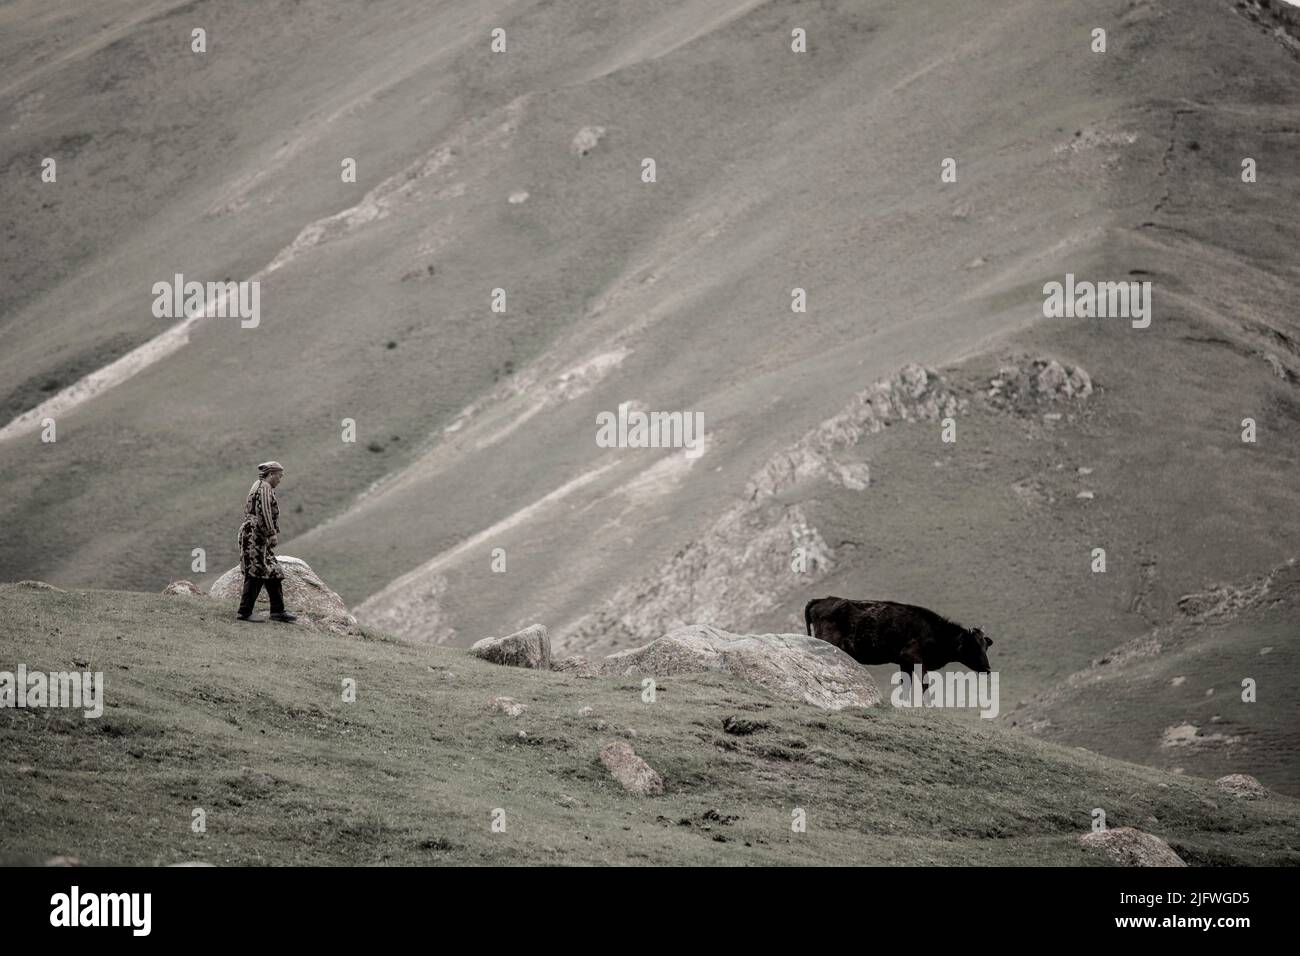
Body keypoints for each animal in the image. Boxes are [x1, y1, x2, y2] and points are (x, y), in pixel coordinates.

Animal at [800, 595, 993, 686]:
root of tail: (822, 599)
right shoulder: (913, 657)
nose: (988, 668)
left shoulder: (904, 662)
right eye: (973, 645)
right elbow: (924, 684)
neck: (936, 632)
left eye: (985, 646)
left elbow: (905, 684)